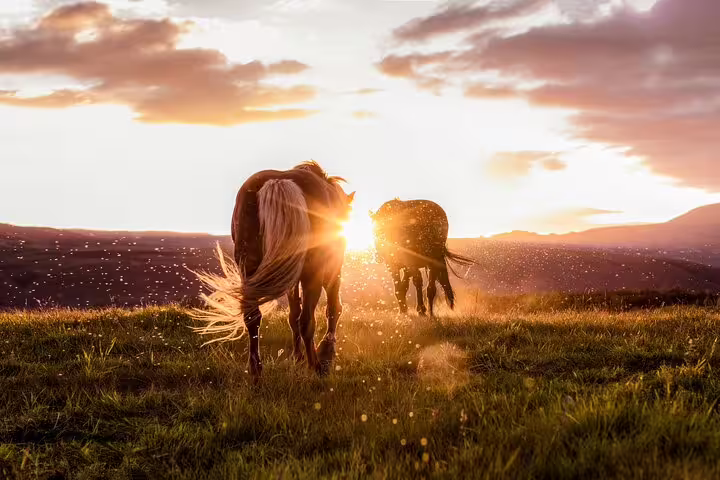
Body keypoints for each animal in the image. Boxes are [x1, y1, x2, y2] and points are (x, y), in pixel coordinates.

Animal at [193, 161, 354, 379]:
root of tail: (279, 182)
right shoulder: (332, 268)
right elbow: (333, 308)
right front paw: (326, 352)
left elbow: (293, 314)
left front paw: (297, 357)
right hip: (313, 273)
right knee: (307, 320)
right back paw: (315, 367)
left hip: (251, 268)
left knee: (253, 318)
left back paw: (256, 371)